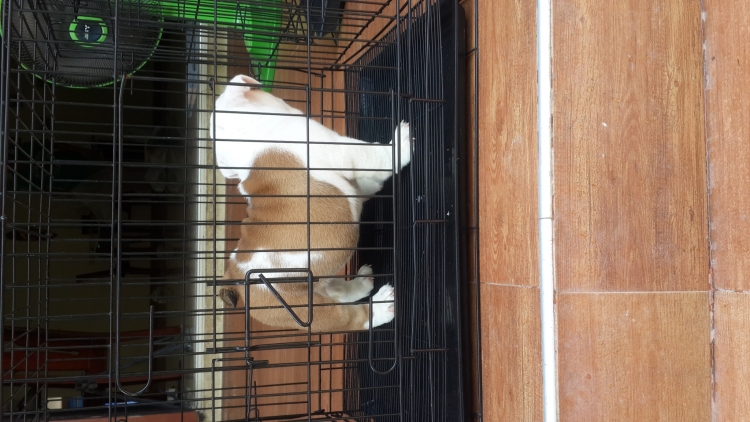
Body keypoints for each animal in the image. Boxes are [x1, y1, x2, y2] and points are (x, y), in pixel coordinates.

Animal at [212, 74, 411, 332]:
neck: (244, 135)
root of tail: (235, 284)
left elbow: (356, 187)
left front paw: (368, 187)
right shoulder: (343, 150)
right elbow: (377, 157)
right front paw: (401, 145)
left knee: (335, 291)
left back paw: (361, 284)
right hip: (305, 309)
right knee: (351, 319)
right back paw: (381, 306)